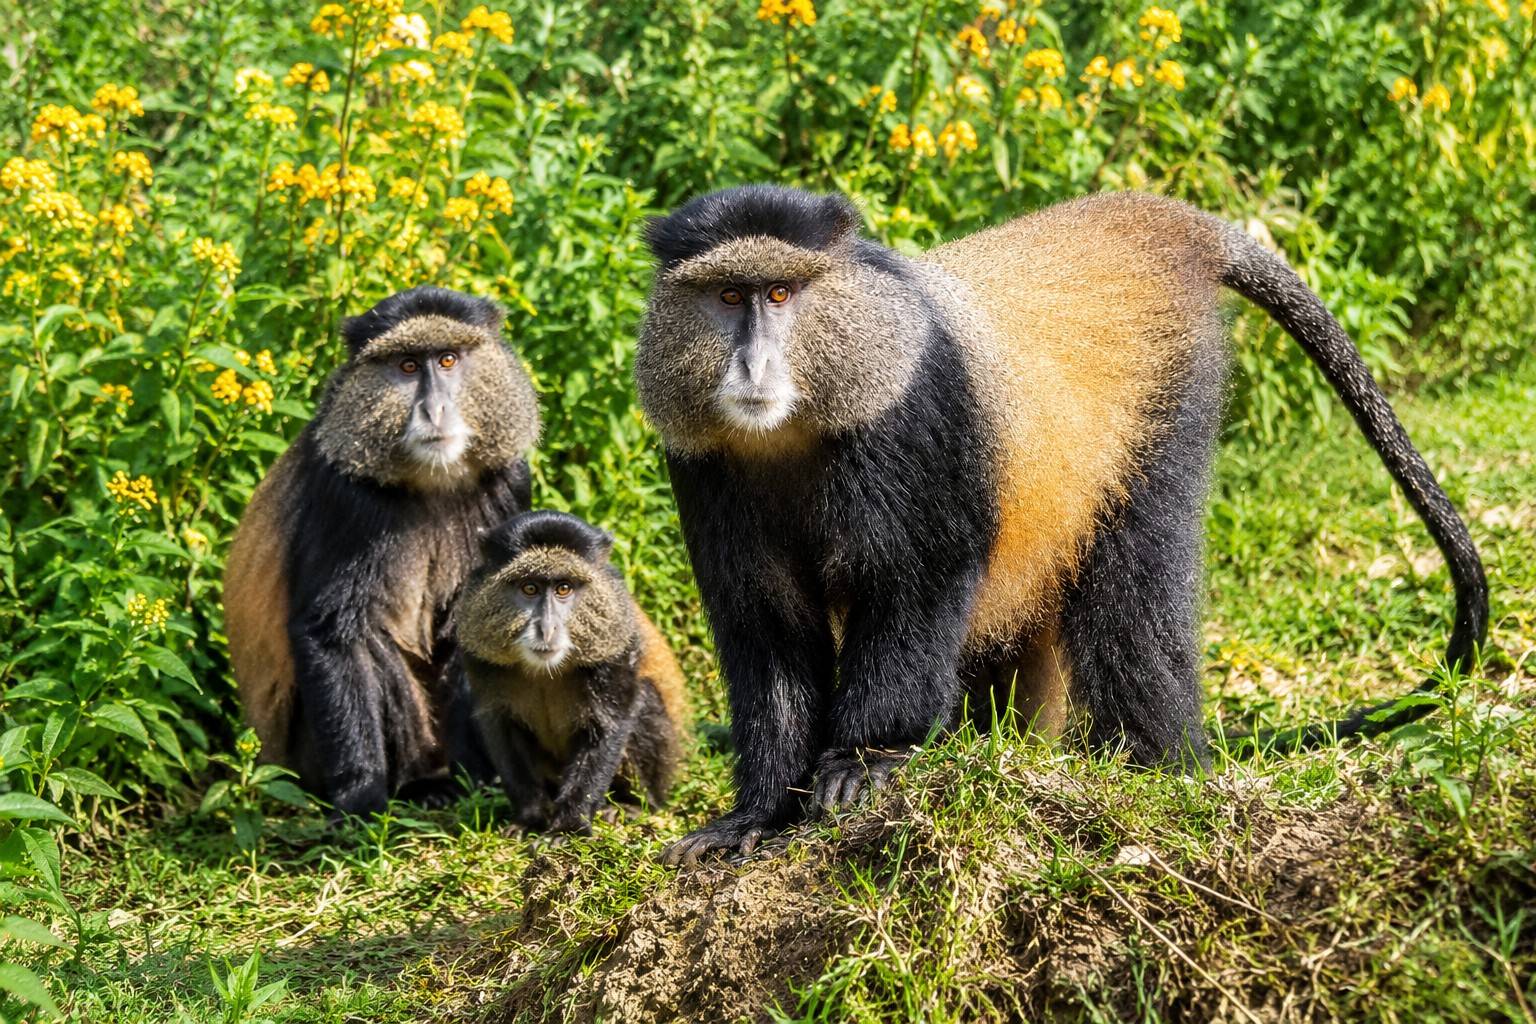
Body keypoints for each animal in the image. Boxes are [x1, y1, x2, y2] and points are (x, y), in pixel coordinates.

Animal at [222, 286, 542, 818]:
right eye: (407, 366)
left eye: (448, 359)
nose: (434, 410)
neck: (431, 481)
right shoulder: (345, 497)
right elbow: (333, 633)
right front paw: (361, 797)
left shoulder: (511, 482)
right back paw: (418, 787)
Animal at [454, 510, 686, 833]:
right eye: (529, 588)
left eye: (563, 588)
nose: (546, 628)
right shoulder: (479, 657)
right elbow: (500, 727)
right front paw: (530, 819)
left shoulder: (616, 651)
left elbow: (609, 724)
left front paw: (568, 827)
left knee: (645, 698)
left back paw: (631, 806)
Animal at [634, 185, 1488, 866]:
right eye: (727, 298)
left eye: (779, 295)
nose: (751, 368)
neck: (797, 425)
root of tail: (1148, 218)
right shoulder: (706, 467)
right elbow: (766, 626)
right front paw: (756, 814)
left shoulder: (911, 416)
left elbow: (920, 582)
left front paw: (864, 761)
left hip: (1166, 401)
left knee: (1135, 600)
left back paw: (1157, 769)